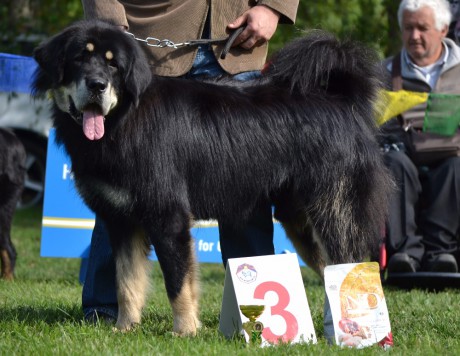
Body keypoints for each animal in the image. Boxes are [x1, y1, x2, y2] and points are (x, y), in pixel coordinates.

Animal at [32, 20, 392, 336]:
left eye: (113, 66)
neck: (124, 119)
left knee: (353, 268)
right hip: (300, 221)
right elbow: (127, 282)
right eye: (80, 58)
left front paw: (185, 330)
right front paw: (124, 329)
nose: (97, 85)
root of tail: (343, 100)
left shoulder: (168, 218)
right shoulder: (121, 220)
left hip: (334, 212)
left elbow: (178, 282)